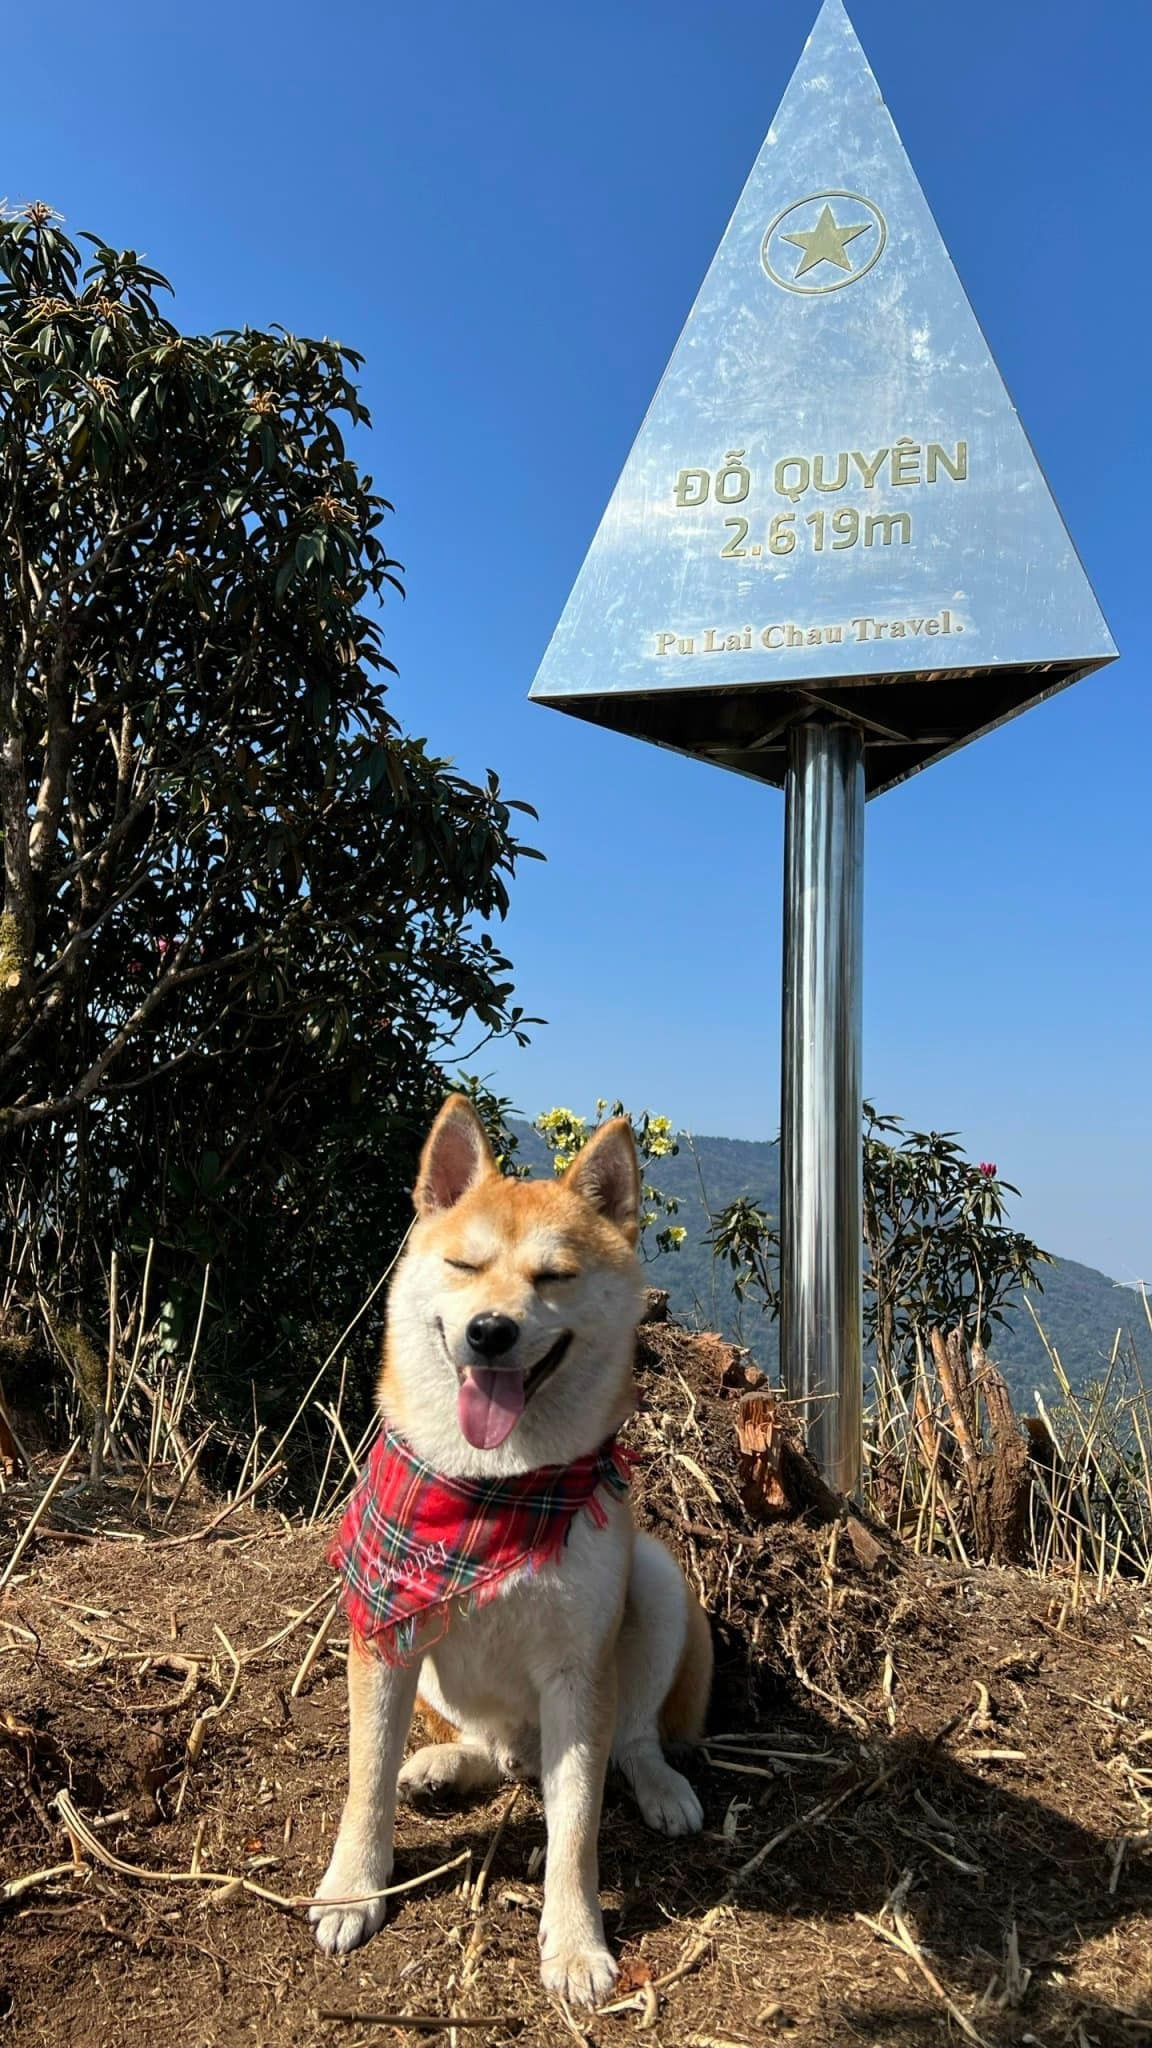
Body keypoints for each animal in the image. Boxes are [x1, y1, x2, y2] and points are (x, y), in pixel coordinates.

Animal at [307, 1097, 709, 2007]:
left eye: (553, 1277)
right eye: (464, 1264)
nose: (491, 1331)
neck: (495, 1488)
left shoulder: (578, 1670)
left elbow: (577, 1827)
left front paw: (575, 1943)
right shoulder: (386, 1629)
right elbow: (366, 1775)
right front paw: (354, 1886)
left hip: (658, 1583)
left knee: (633, 1738)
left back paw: (662, 1786)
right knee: (490, 1751)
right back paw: (446, 1764)